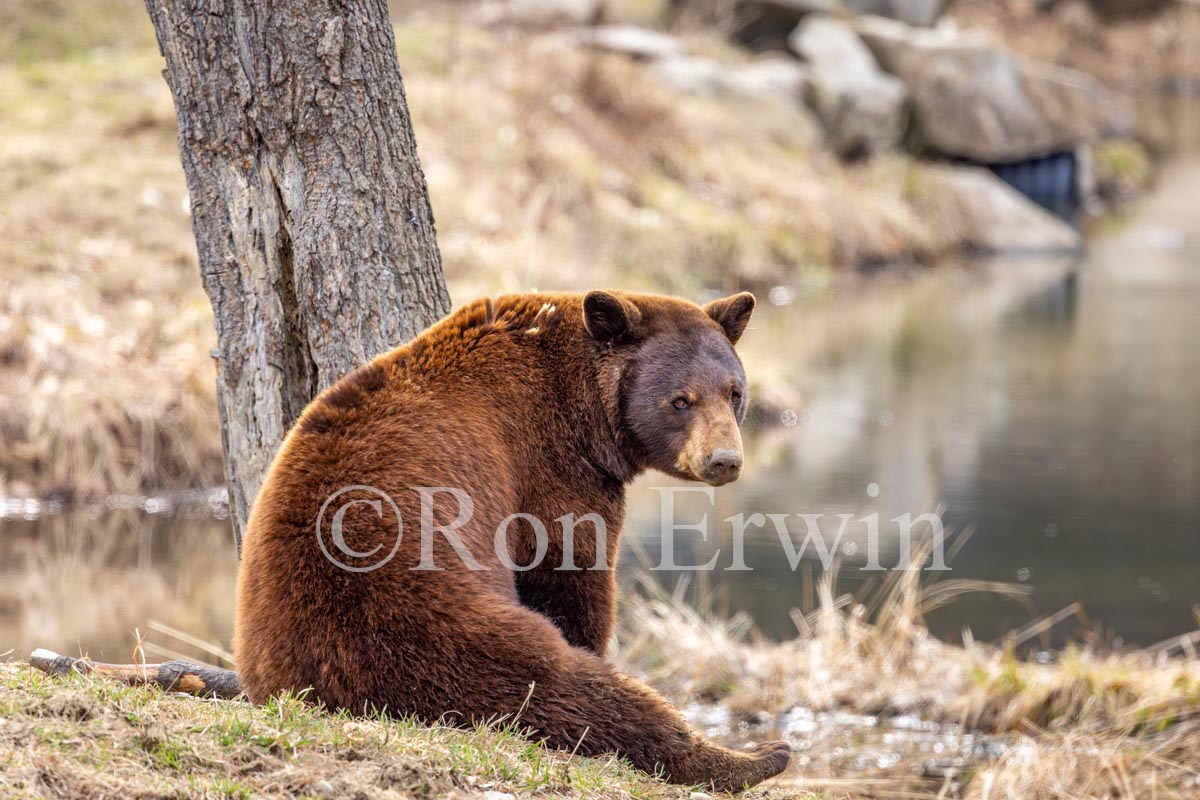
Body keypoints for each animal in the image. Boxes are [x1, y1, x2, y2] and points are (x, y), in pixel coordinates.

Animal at [234, 290, 791, 791]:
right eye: (680, 400)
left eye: (734, 392)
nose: (724, 460)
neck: (582, 404)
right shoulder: (550, 469)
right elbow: (569, 572)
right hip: (431, 629)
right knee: (567, 691)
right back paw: (755, 757)